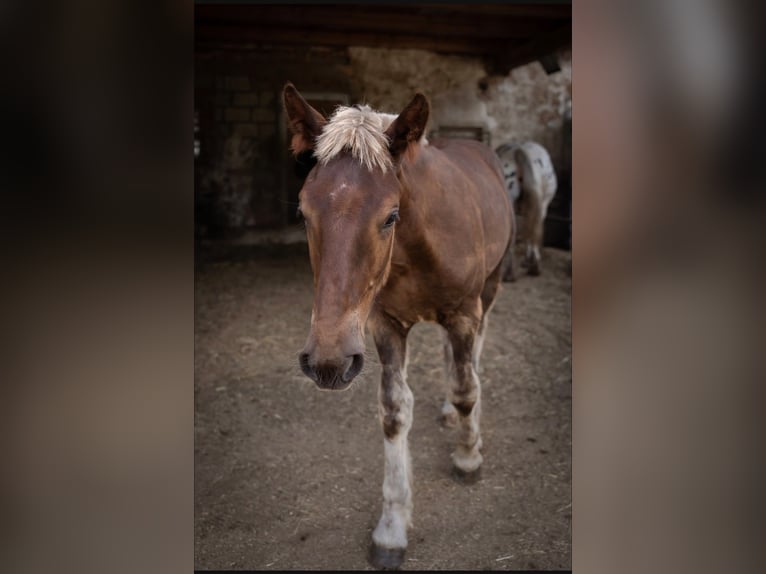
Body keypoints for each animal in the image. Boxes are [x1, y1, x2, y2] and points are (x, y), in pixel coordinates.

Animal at [283, 82, 513, 569]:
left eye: (390, 215)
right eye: (303, 213)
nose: (327, 361)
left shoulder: (464, 312)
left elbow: (467, 388)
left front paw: (468, 456)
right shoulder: (384, 325)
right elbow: (394, 411)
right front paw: (391, 528)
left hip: (490, 288)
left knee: (471, 359)